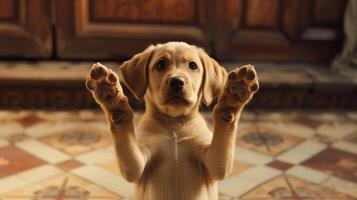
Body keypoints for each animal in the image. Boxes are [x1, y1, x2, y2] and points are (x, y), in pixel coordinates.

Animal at [86, 41, 258, 199]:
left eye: (192, 65)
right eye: (160, 64)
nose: (176, 81)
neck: (174, 124)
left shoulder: (214, 164)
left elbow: (224, 130)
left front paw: (232, 100)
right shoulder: (136, 165)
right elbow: (124, 133)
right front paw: (112, 100)